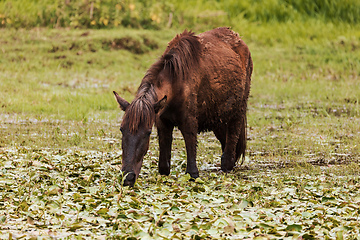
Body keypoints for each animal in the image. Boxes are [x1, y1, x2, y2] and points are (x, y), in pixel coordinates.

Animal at [114, 26, 252, 188]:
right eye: (122, 130)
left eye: (147, 133)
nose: (127, 178)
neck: (176, 82)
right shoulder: (162, 122)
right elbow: (164, 166)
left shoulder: (189, 122)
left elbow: (191, 163)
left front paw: (193, 174)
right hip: (218, 118)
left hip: (237, 112)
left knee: (230, 147)